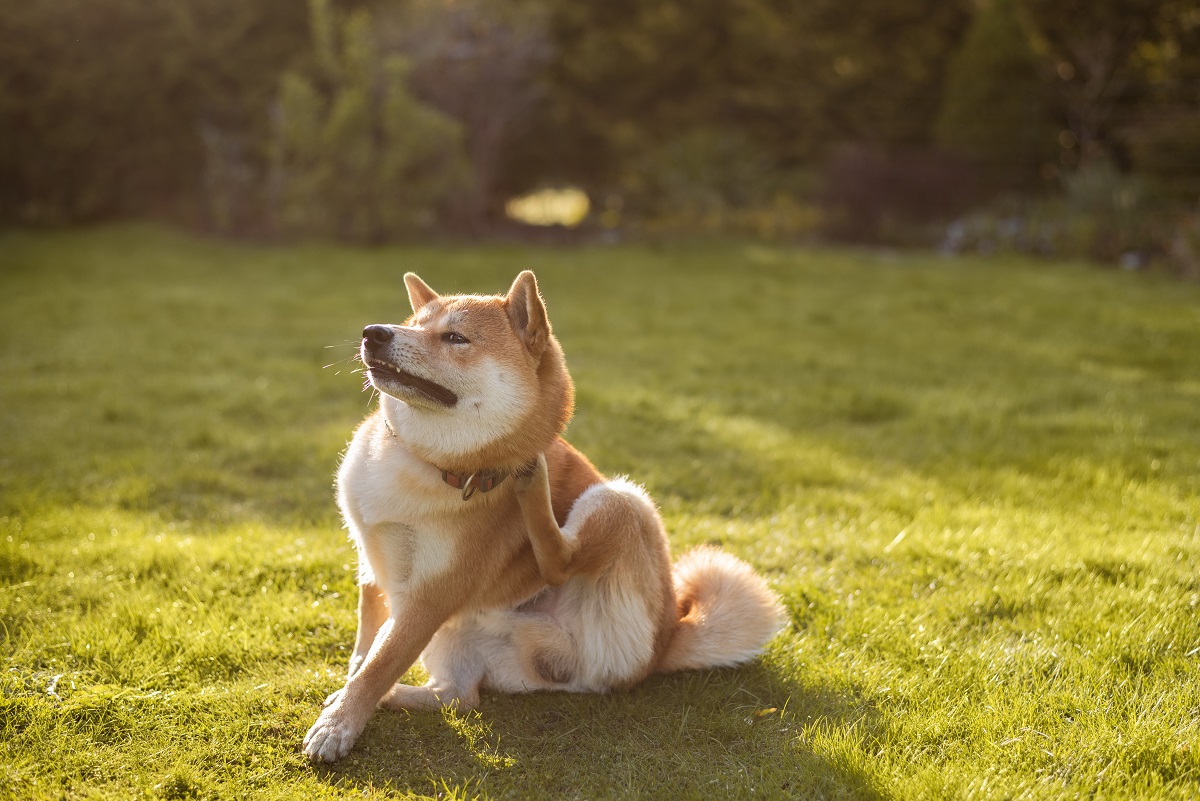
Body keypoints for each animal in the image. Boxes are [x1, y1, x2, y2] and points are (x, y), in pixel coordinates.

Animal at [304, 270, 782, 762]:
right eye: (412, 324)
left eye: (455, 337)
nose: (374, 333)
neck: (422, 462)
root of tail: (665, 643)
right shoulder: (373, 567)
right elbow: (367, 648)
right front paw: (347, 693)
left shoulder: (432, 594)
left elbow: (380, 663)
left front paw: (340, 724)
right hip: (462, 634)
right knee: (459, 696)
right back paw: (397, 696)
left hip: (624, 501)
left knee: (558, 562)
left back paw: (533, 482)